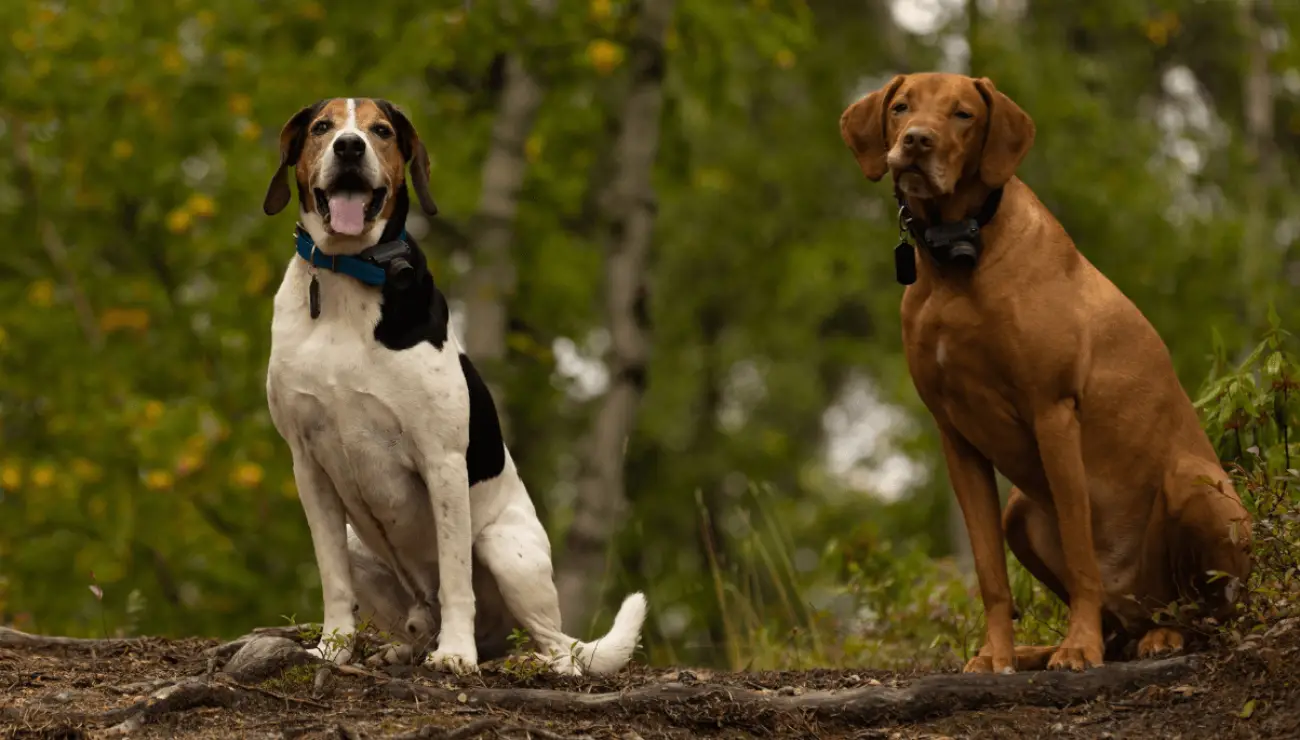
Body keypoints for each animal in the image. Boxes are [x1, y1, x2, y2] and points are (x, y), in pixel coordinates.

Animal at [261, 98, 647, 676]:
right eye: (321, 127)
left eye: (380, 130)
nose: (349, 147)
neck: (348, 278)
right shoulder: (308, 464)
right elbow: (333, 580)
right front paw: (332, 649)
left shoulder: (440, 458)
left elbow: (455, 575)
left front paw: (456, 656)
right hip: (363, 545)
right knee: (420, 617)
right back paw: (406, 648)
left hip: (506, 550)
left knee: (554, 642)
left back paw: (530, 660)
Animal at [837, 73, 1253, 671]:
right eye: (901, 107)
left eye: (962, 114)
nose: (916, 141)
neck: (956, 262)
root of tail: (1141, 607)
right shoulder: (955, 435)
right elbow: (990, 573)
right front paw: (997, 655)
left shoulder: (1053, 412)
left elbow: (1081, 556)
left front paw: (1077, 648)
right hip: (1020, 512)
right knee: (1119, 626)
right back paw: (1053, 646)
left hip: (1197, 488)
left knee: (1208, 611)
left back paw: (1161, 635)